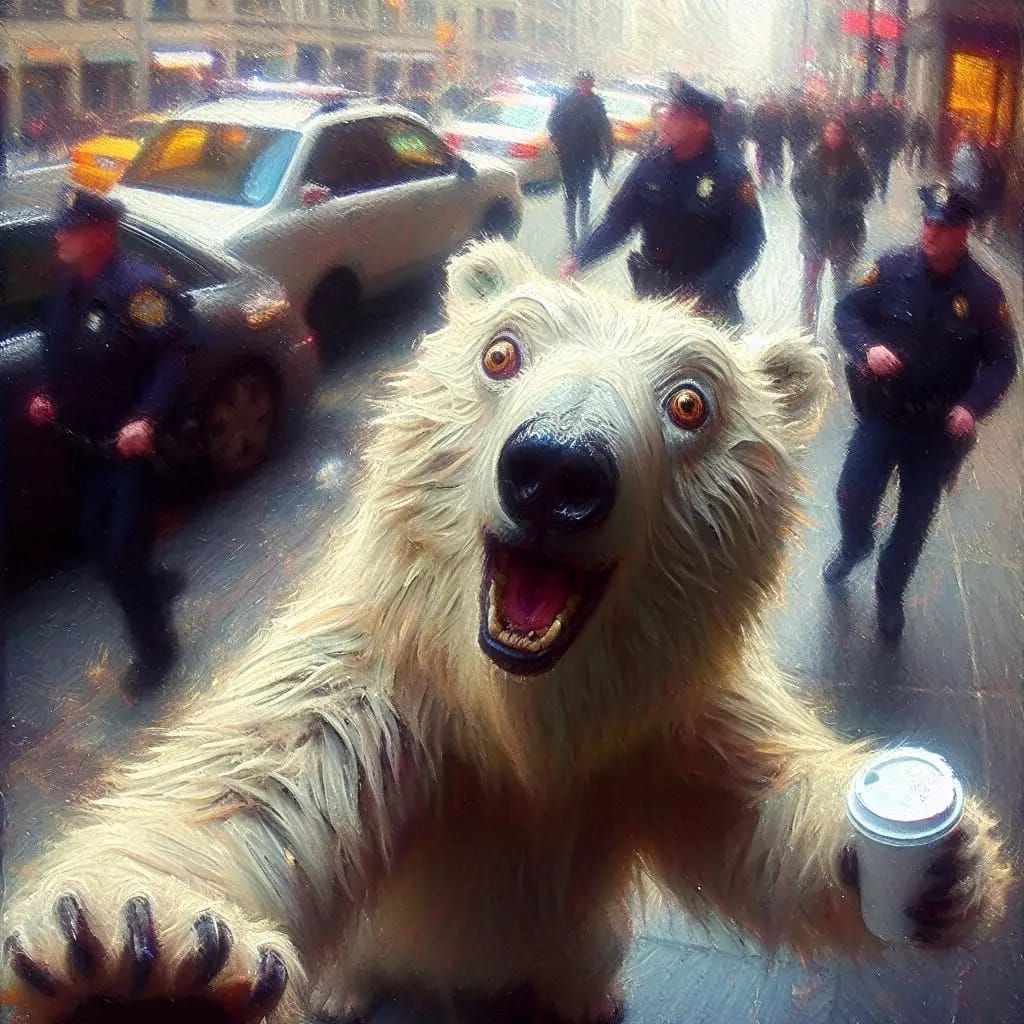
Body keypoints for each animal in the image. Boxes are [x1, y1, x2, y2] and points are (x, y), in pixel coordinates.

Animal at [0, 240, 1011, 1024]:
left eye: (691, 402)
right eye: (500, 353)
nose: (557, 471)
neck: (524, 714)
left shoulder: (666, 715)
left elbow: (747, 808)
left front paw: (939, 867)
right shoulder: (389, 678)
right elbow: (259, 779)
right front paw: (139, 960)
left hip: (583, 939)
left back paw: (590, 998)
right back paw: (337, 990)